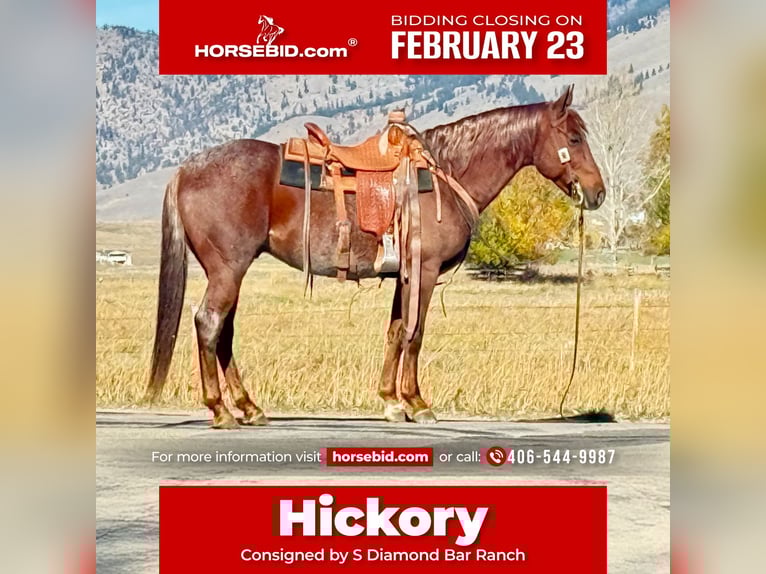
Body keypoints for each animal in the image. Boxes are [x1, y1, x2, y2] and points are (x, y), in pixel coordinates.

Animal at [144, 85, 606, 429]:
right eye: (574, 138)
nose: (598, 193)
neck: (447, 173)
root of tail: (186, 169)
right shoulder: (424, 272)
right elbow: (415, 334)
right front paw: (417, 403)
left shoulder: (405, 276)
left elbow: (395, 332)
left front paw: (390, 401)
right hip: (228, 268)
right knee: (209, 324)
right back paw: (220, 410)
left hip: (231, 271)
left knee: (223, 331)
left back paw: (248, 407)